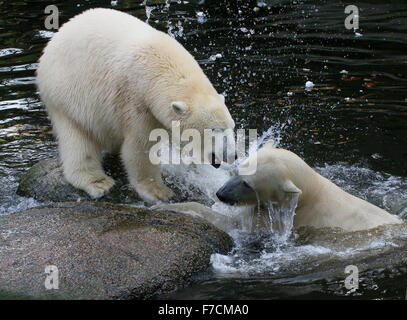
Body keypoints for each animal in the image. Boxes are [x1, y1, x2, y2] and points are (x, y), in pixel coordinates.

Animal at [38, 8, 237, 202]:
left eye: (231, 127)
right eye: (214, 129)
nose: (233, 155)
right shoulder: (135, 100)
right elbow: (141, 145)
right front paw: (158, 191)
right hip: (67, 95)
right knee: (78, 139)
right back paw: (98, 182)